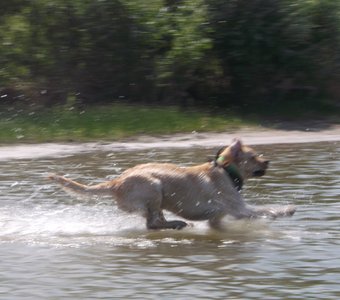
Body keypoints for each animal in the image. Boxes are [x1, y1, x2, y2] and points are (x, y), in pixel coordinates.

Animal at [47, 138, 294, 230]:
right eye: (253, 156)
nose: (267, 161)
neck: (226, 170)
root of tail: (116, 182)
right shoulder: (239, 209)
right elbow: (265, 210)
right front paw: (286, 210)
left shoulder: (219, 217)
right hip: (154, 187)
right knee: (152, 224)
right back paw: (177, 224)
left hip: (158, 199)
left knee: (156, 221)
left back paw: (177, 223)